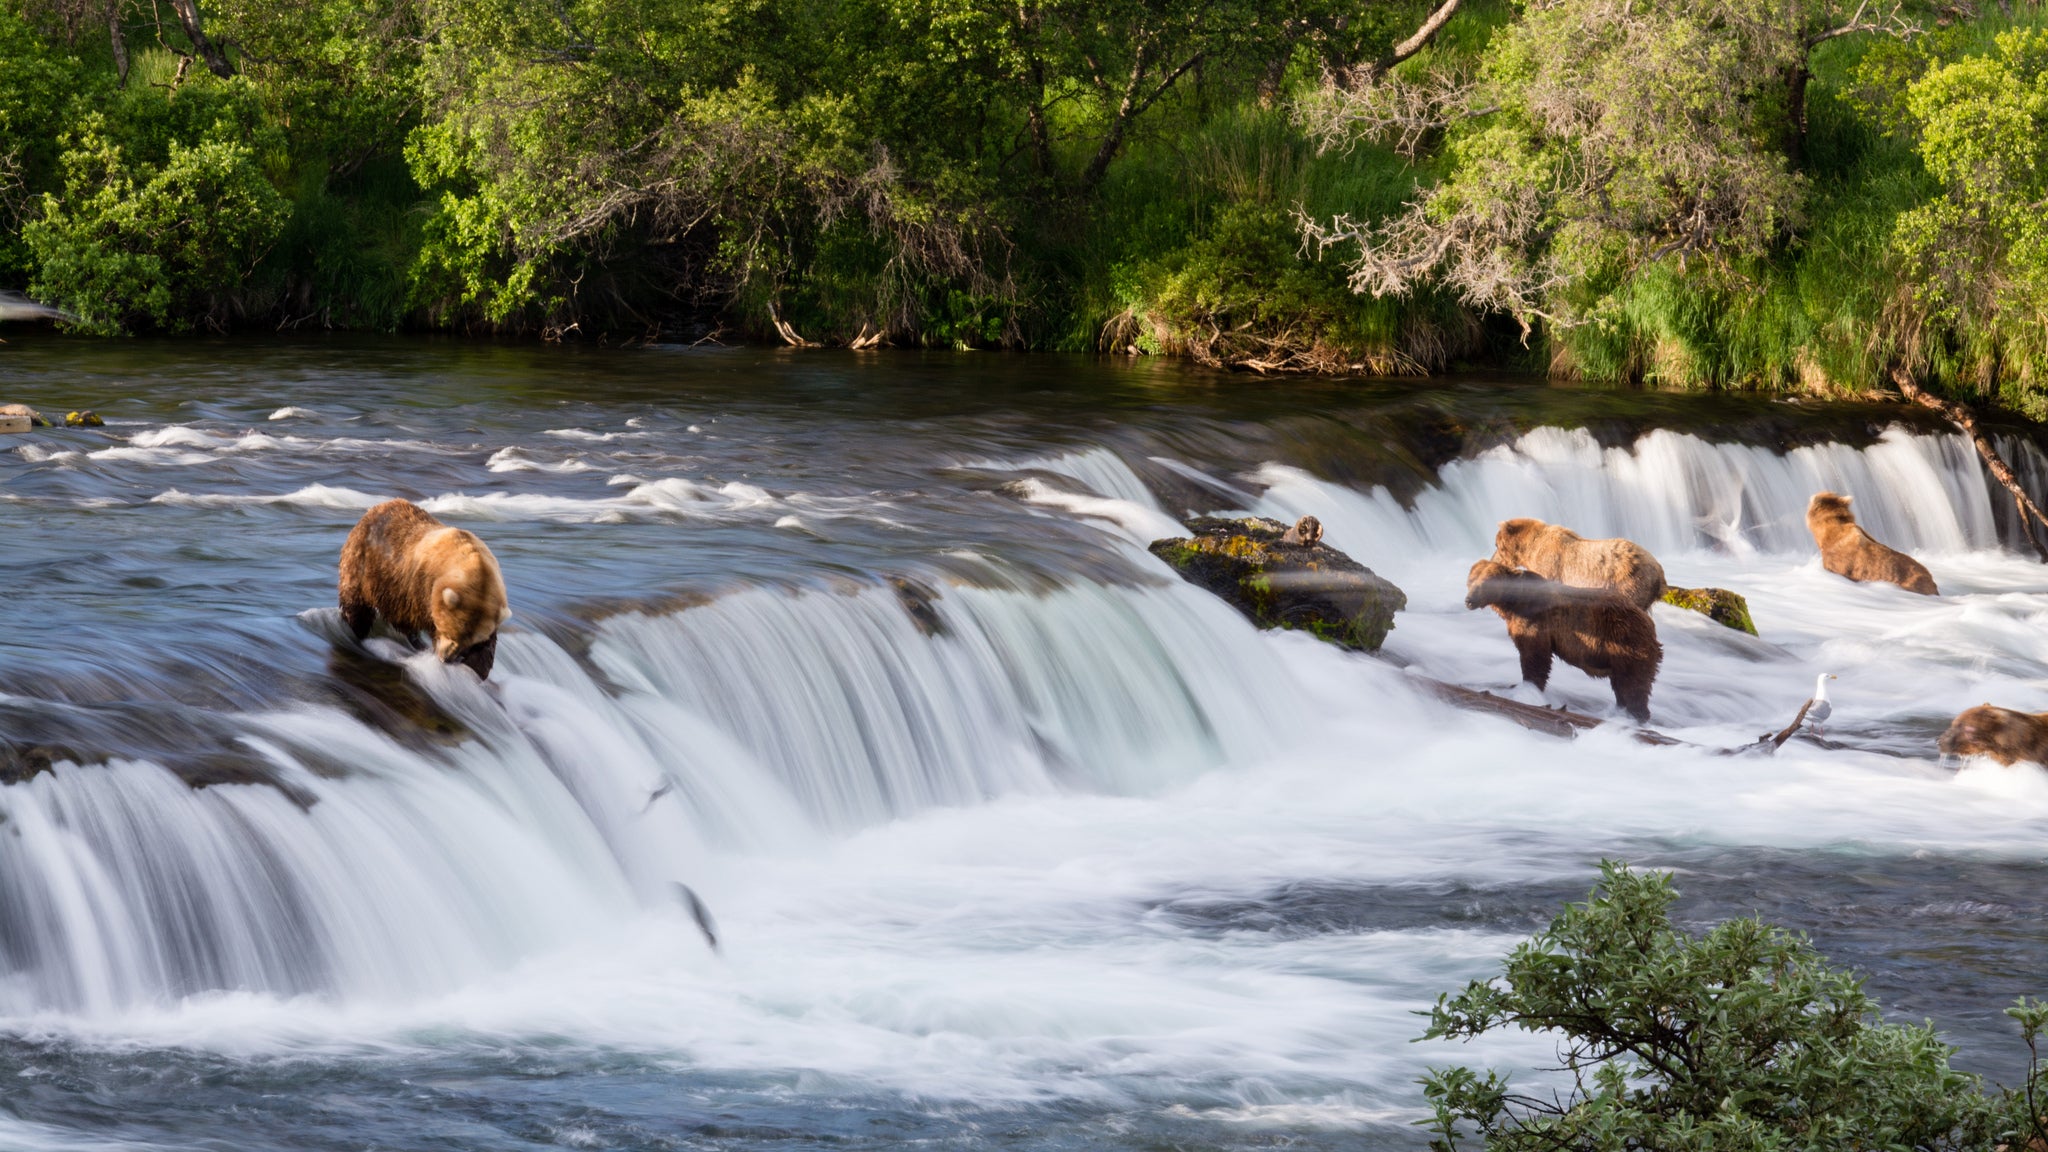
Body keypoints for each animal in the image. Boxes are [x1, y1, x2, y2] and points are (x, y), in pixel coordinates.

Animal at [338, 499, 510, 679]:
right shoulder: (422, 588)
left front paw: (478, 665)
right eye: (450, 632)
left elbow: (488, 644)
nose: (447, 658)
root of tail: (376, 508)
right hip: (364, 564)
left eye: (469, 641)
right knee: (359, 605)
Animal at [1465, 558, 1663, 723]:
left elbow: (1535, 657)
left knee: (1633, 685)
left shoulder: (1535, 621)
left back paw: (1636, 715)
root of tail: (1649, 623)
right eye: (1471, 580)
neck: (1513, 603)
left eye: (1485, 583)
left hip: (1626, 643)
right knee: (1622, 686)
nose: (1469, 600)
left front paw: (1528, 688)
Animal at [1491, 518, 1667, 610]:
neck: (1530, 549)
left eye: (1496, 544)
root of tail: (1659, 571)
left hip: (1630, 582)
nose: (1492, 559)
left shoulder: (1549, 566)